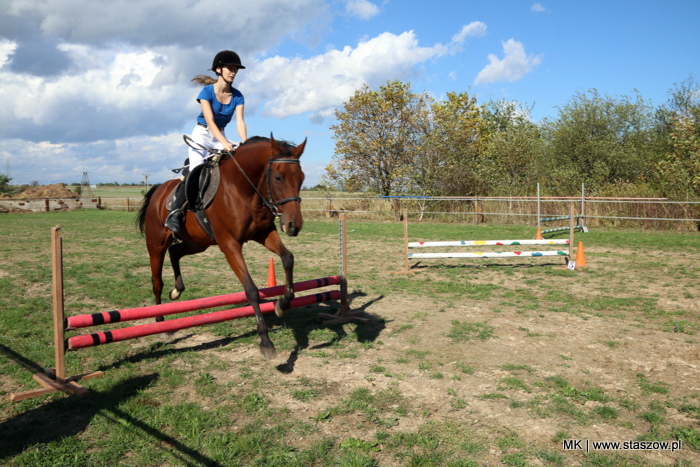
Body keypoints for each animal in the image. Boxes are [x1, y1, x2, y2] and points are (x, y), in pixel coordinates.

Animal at [137, 135, 306, 358]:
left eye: (302, 178)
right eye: (278, 178)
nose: (294, 226)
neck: (244, 188)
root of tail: (160, 189)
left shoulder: (264, 234)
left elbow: (288, 258)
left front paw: (283, 304)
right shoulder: (229, 245)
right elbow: (251, 289)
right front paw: (265, 341)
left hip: (198, 242)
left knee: (175, 252)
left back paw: (177, 290)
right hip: (156, 245)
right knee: (157, 281)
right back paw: (160, 324)